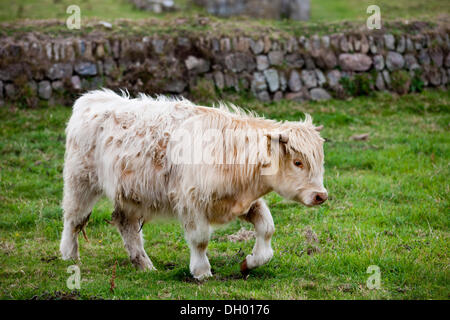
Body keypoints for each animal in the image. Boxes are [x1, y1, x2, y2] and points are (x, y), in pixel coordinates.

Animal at [60, 89, 326, 280]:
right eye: (298, 162)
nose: (321, 196)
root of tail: (93, 98)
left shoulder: (246, 201)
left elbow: (267, 228)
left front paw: (250, 261)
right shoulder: (191, 202)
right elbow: (200, 239)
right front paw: (201, 271)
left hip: (130, 194)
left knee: (127, 226)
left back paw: (144, 265)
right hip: (80, 182)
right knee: (74, 218)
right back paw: (69, 256)